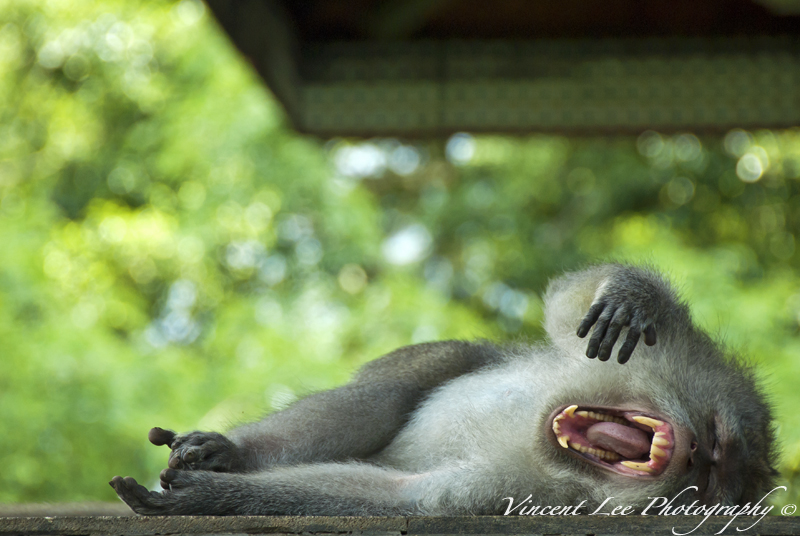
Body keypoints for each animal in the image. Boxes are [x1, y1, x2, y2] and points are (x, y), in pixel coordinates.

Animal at [110, 264, 778, 516]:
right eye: (714, 449)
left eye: (704, 486)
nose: (693, 455)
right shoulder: (681, 364)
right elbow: (569, 301)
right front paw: (633, 296)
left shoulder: (520, 495)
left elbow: (412, 498)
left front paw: (207, 498)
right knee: (414, 379)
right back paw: (235, 451)